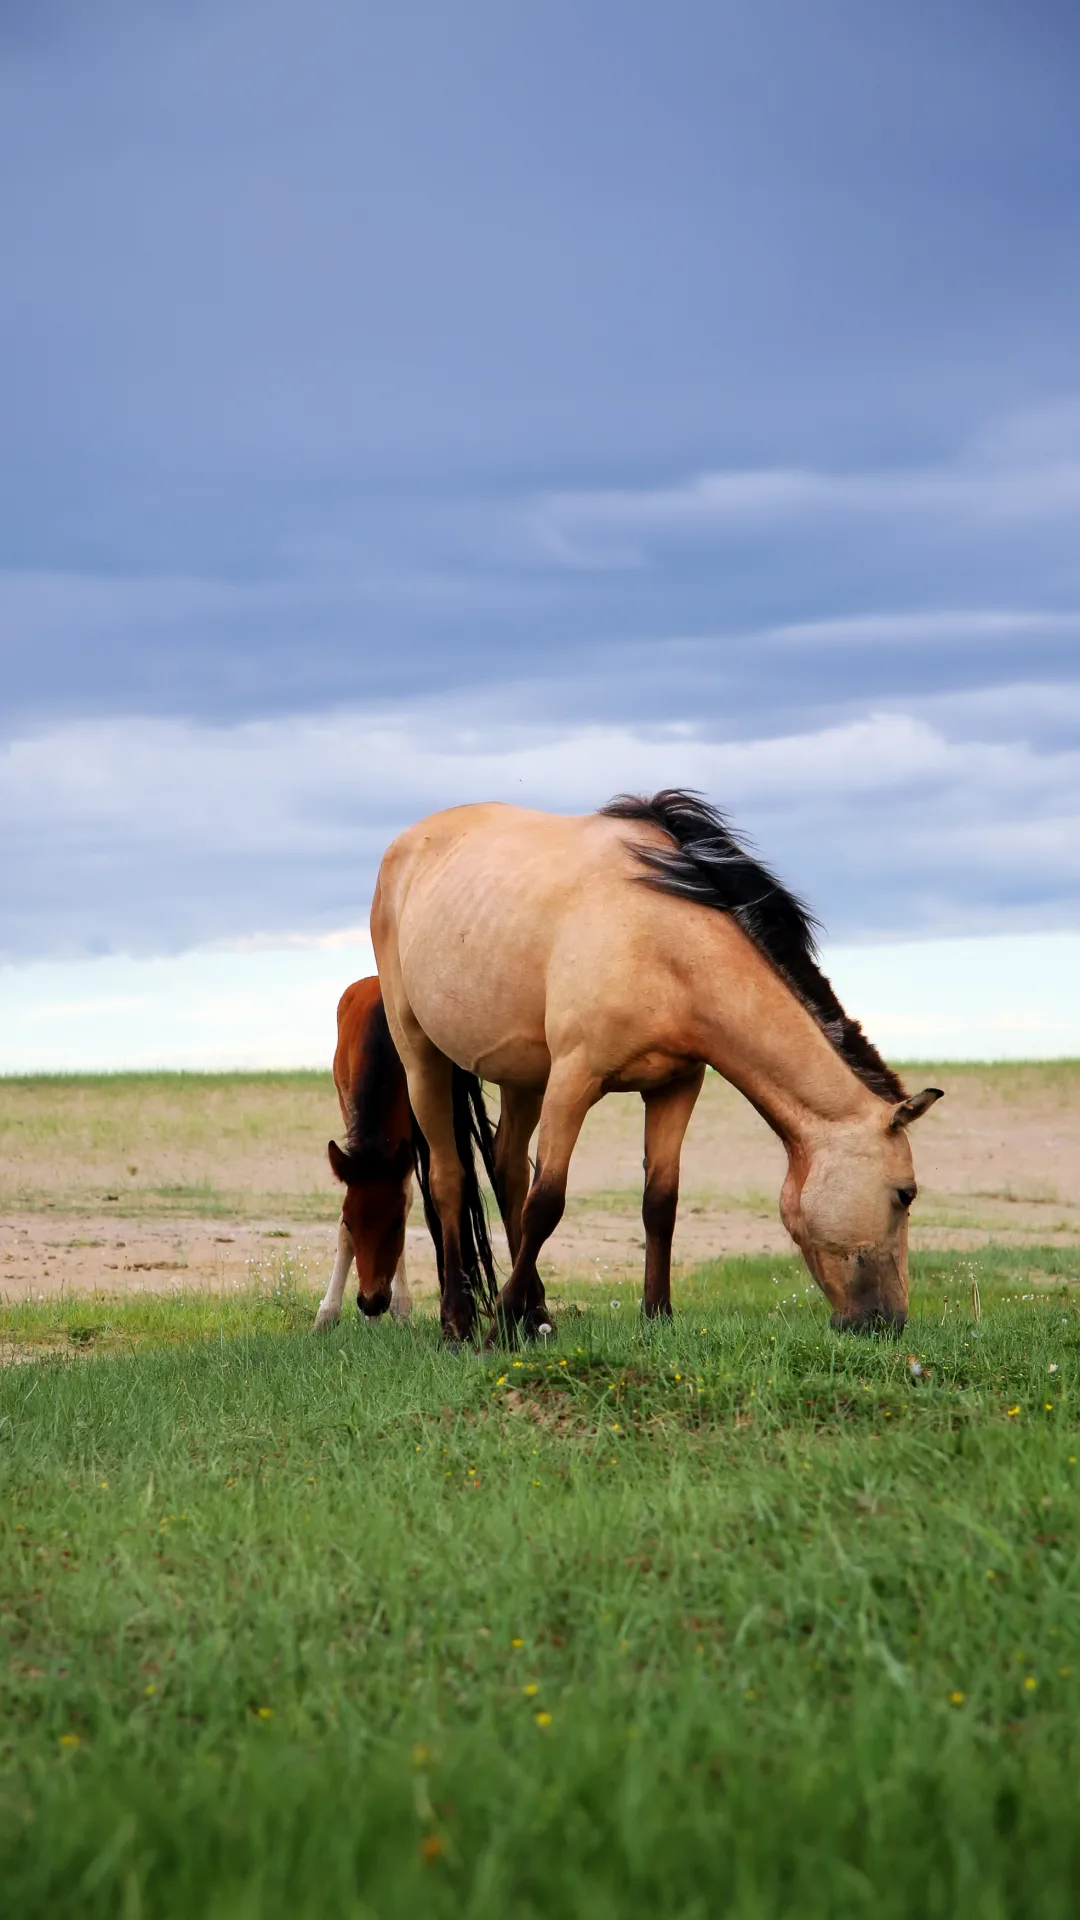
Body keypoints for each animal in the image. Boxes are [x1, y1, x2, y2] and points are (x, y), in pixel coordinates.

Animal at [311, 975, 495, 1336]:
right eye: (349, 1222)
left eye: (396, 1224)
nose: (371, 1301)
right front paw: (329, 1312)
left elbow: (410, 1198)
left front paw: (399, 1307)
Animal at [367, 787, 933, 1344]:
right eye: (905, 1194)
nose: (888, 1322)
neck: (661, 939)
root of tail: (404, 847)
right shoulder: (573, 1080)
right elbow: (547, 1202)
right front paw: (499, 1324)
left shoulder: (676, 1086)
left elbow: (659, 1201)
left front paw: (657, 1315)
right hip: (421, 1057)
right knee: (450, 1178)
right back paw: (459, 1322)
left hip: (522, 1077)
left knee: (506, 1169)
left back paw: (537, 1315)